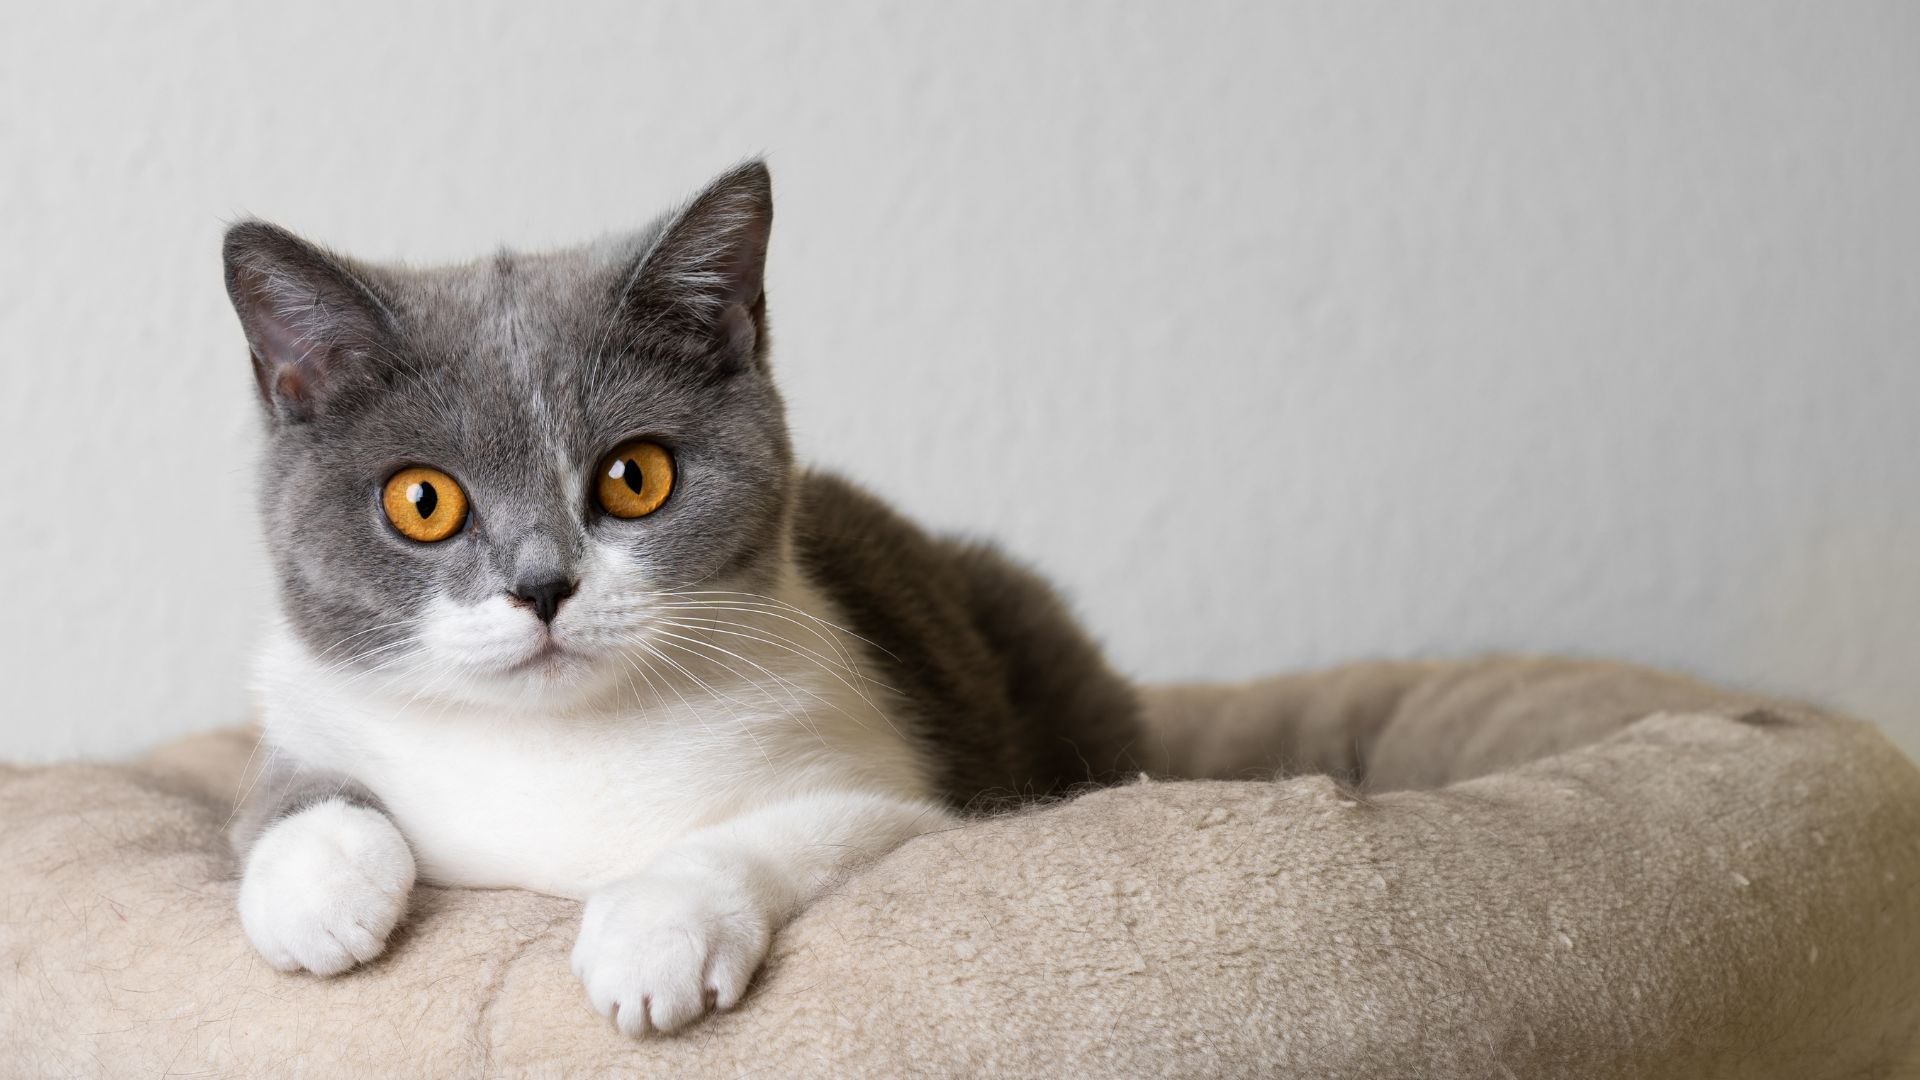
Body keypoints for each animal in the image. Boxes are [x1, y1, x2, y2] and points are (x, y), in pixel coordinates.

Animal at [220, 161, 1136, 1037]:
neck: (557, 741)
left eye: (635, 478)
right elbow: (279, 791)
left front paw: (657, 936)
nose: (542, 586)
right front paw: (319, 885)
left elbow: (801, 829)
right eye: (422, 501)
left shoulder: (902, 796)